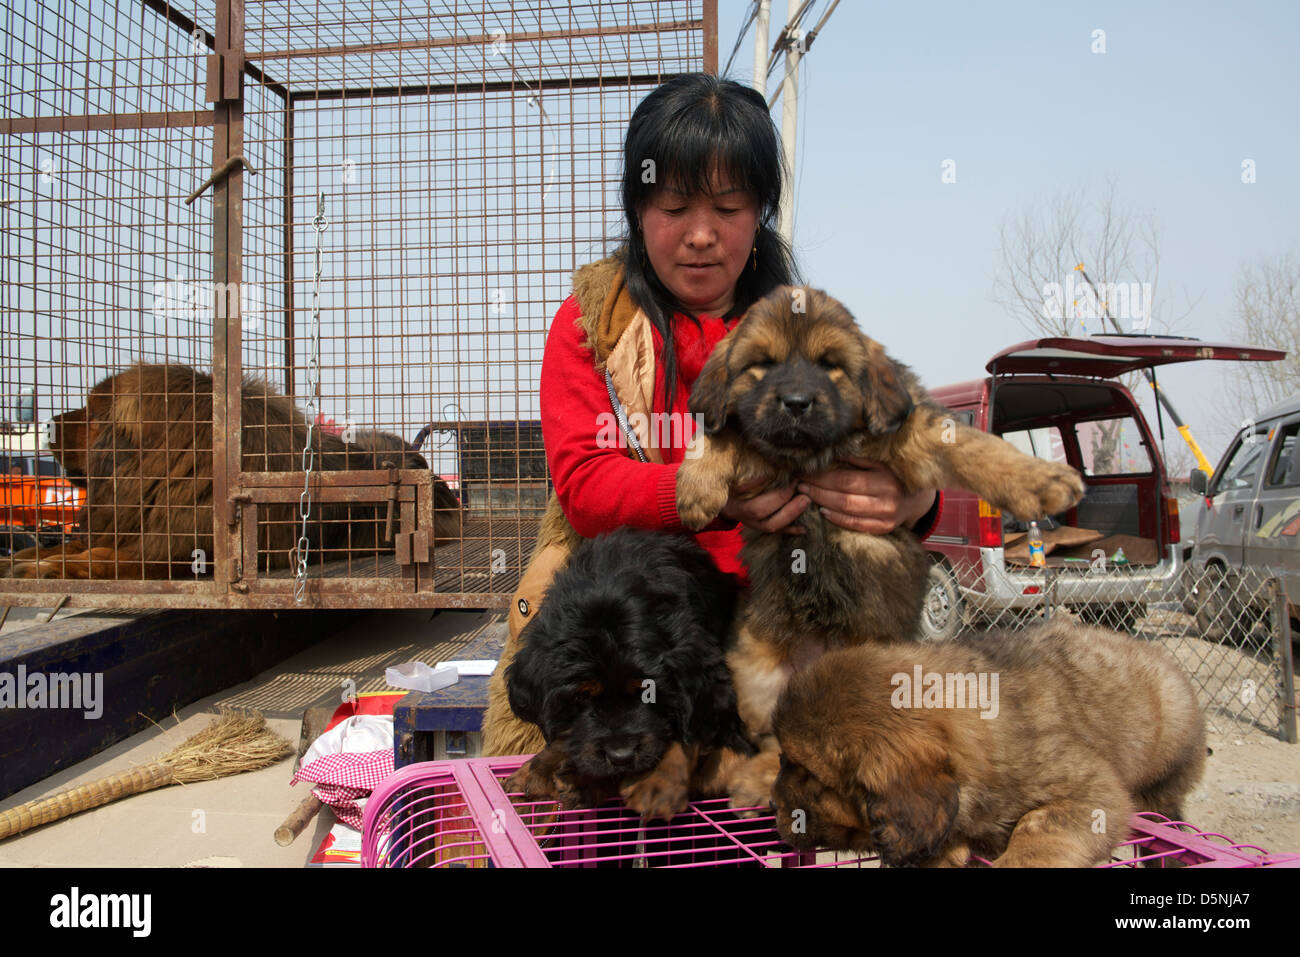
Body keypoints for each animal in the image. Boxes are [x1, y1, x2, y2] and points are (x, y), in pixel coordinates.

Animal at [1, 364, 462, 574]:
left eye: (93, 414)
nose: (51, 421)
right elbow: (67, 546)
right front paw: (29, 556)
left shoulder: (177, 554)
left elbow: (105, 559)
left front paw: (49, 566)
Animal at [504, 527, 759, 816]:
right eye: (581, 696)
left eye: (649, 693)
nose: (621, 756)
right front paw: (542, 768)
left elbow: (689, 728)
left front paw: (652, 782)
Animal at [676, 286, 1092, 806]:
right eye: (763, 364)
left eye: (830, 364)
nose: (795, 403)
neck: (812, 456)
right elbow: (721, 434)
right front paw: (694, 488)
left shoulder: (910, 440)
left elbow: (974, 446)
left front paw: (1041, 479)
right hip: (753, 674)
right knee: (778, 740)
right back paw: (748, 779)